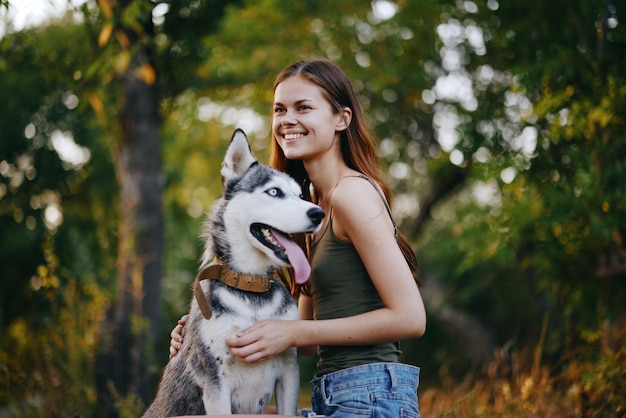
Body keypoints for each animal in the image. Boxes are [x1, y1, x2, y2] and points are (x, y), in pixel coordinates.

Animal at [144, 129, 324, 416]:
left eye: (300, 195)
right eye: (274, 191)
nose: (318, 213)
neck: (250, 286)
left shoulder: (289, 369)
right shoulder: (214, 380)